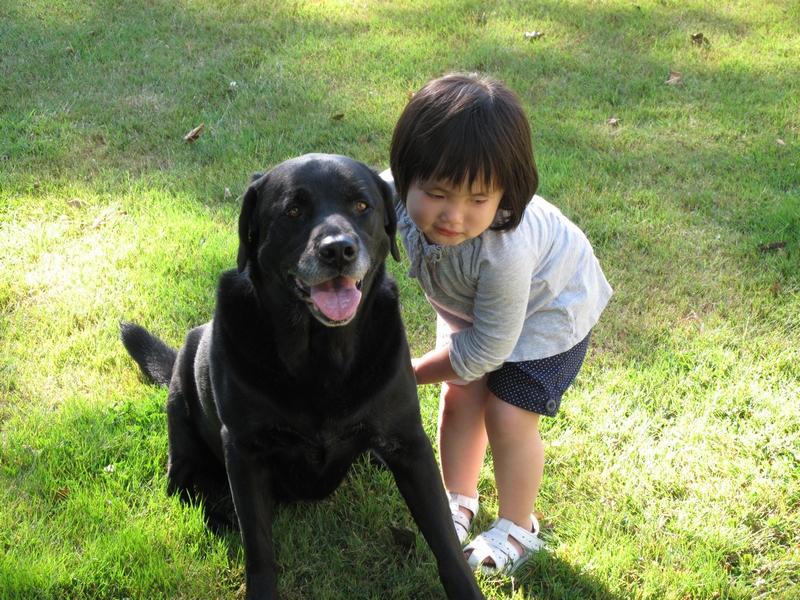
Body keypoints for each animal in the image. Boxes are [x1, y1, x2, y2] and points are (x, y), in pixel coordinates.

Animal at [120, 154, 484, 600]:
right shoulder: (244, 451)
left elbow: (445, 541)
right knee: (185, 490)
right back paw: (220, 520)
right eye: (293, 210)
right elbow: (259, 550)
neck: (321, 357)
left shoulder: (410, 443)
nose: (339, 250)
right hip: (183, 429)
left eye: (361, 206)